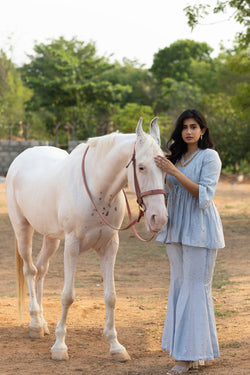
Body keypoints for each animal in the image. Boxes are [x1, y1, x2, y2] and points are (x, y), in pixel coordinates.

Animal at [5, 119, 168, 362]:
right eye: (141, 167)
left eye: (165, 166)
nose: (160, 218)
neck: (98, 189)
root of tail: (21, 158)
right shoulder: (72, 246)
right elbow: (68, 296)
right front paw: (60, 347)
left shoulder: (110, 247)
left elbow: (111, 297)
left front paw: (116, 346)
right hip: (22, 228)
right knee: (30, 270)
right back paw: (35, 324)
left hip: (51, 238)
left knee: (41, 270)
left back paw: (42, 323)